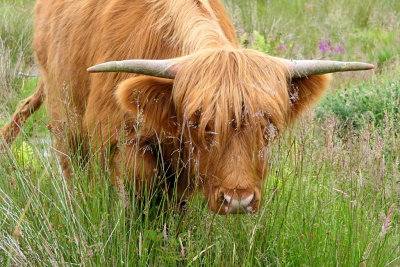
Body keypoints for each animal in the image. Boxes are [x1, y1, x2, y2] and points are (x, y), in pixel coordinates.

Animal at [1, 0, 374, 214]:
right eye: (198, 122)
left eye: (269, 126)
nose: (237, 201)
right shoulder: (116, 140)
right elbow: (137, 189)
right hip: (64, 115)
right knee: (73, 171)